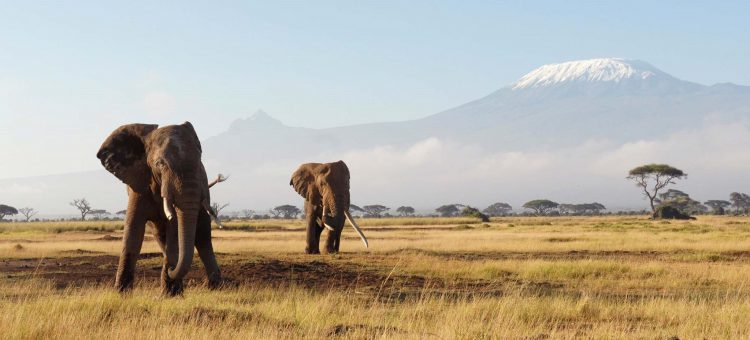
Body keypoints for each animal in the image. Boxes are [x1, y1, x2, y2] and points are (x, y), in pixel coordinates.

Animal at [95, 122, 223, 294]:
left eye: (200, 162)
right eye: (160, 164)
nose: (171, 269)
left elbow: (174, 229)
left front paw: (170, 293)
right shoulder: (139, 183)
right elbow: (133, 229)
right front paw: (121, 293)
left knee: (202, 235)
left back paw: (214, 285)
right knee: (160, 234)